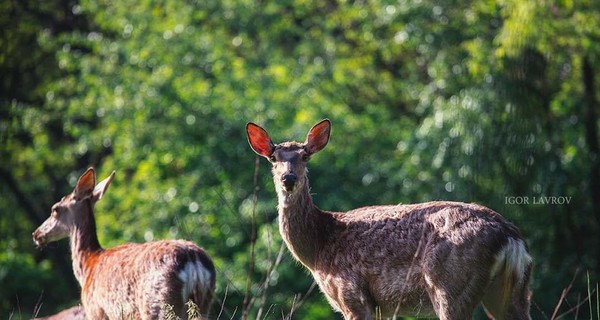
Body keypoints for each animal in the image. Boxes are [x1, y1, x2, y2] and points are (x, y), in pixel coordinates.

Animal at [32, 169, 216, 318]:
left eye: (55, 209)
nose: (37, 234)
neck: (88, 264)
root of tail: (193, 260)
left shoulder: (96, 310)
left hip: (159, 303)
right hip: (204, 303)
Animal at [246, 119, 532, 320]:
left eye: (305, 156)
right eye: (273, 158)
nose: (289, 178)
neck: (320, 246)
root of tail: (510, 236)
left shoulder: (352, 293)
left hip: (451, 284)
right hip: (513, 291)